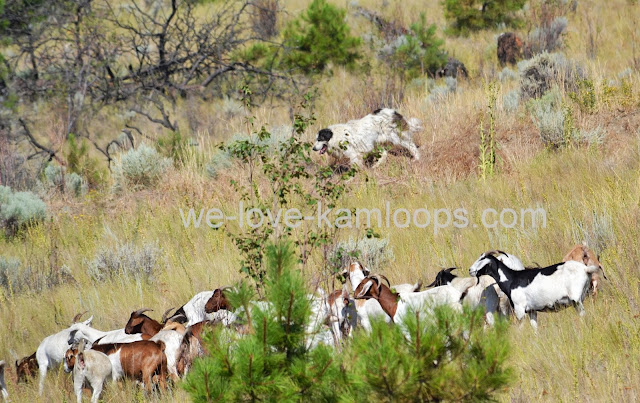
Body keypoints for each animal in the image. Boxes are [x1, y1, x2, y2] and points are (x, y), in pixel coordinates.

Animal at [464, 254, 600, 330]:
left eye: (482, 260)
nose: (470, 270)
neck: (513, 278)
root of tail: (585, 269)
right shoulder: (532, 311)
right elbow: (535, 328)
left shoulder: (520, 311)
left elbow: (520, 329)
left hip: (576, 300)